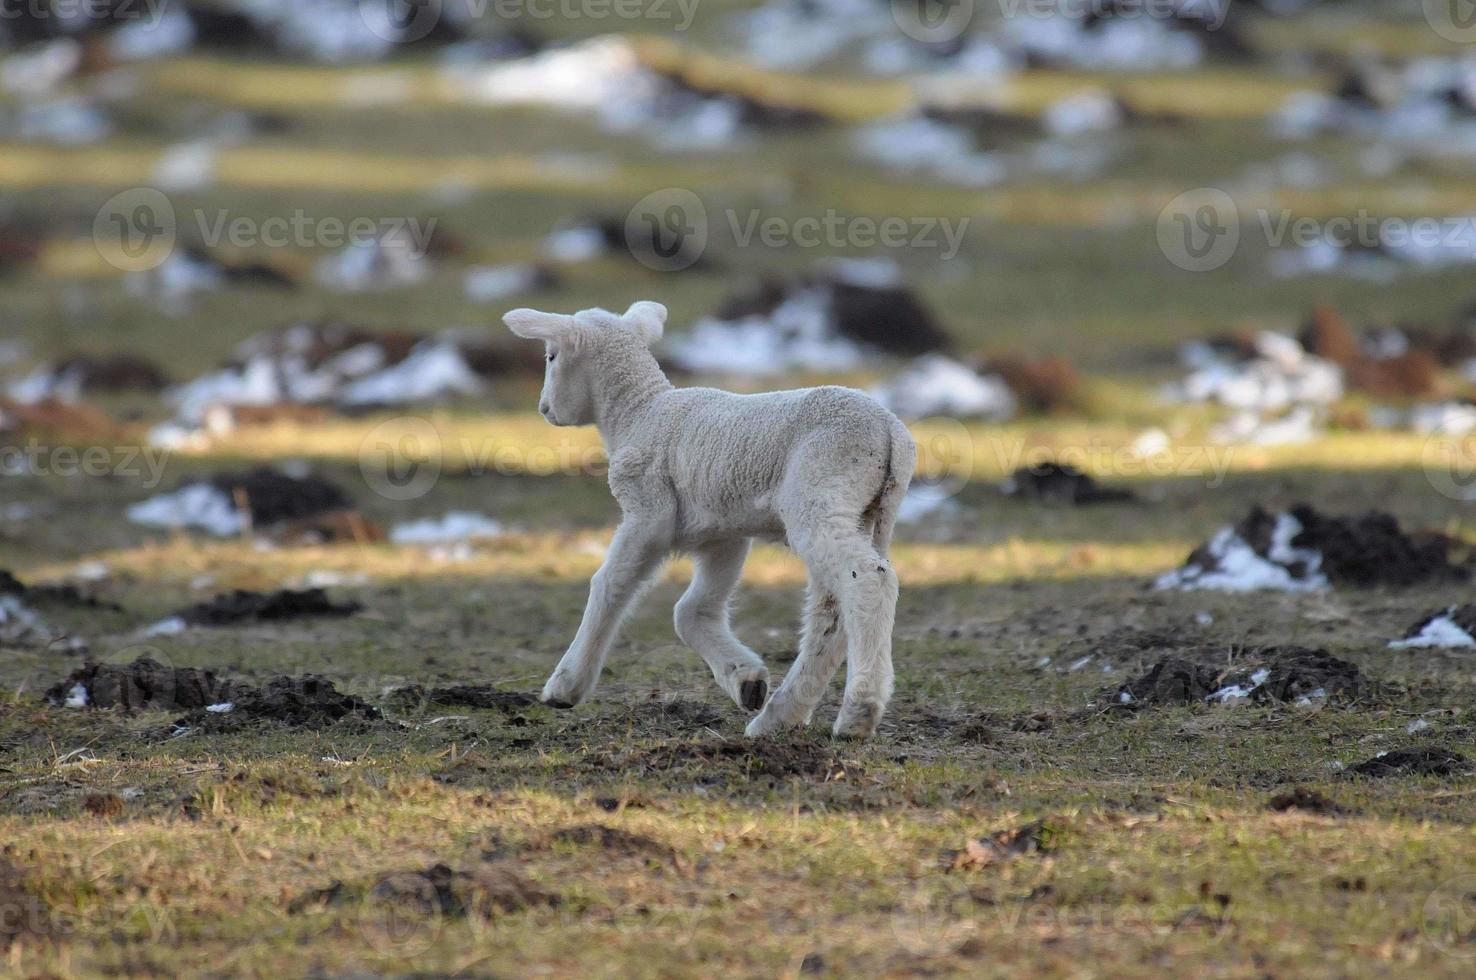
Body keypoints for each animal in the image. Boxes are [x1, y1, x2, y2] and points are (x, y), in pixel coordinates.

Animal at [501, 302, 909, 737]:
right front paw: (746, 680)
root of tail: (891, 433)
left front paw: (565, 686)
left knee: (867, 579)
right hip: (864, 513)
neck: (637, 411)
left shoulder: (648, 511)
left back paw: (858, 712)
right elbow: (692, 611)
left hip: (820, 495)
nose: (545, 409)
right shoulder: (722, 533)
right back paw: (778, 716)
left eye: (551, 356)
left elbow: (609, 585)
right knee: (831, 611)